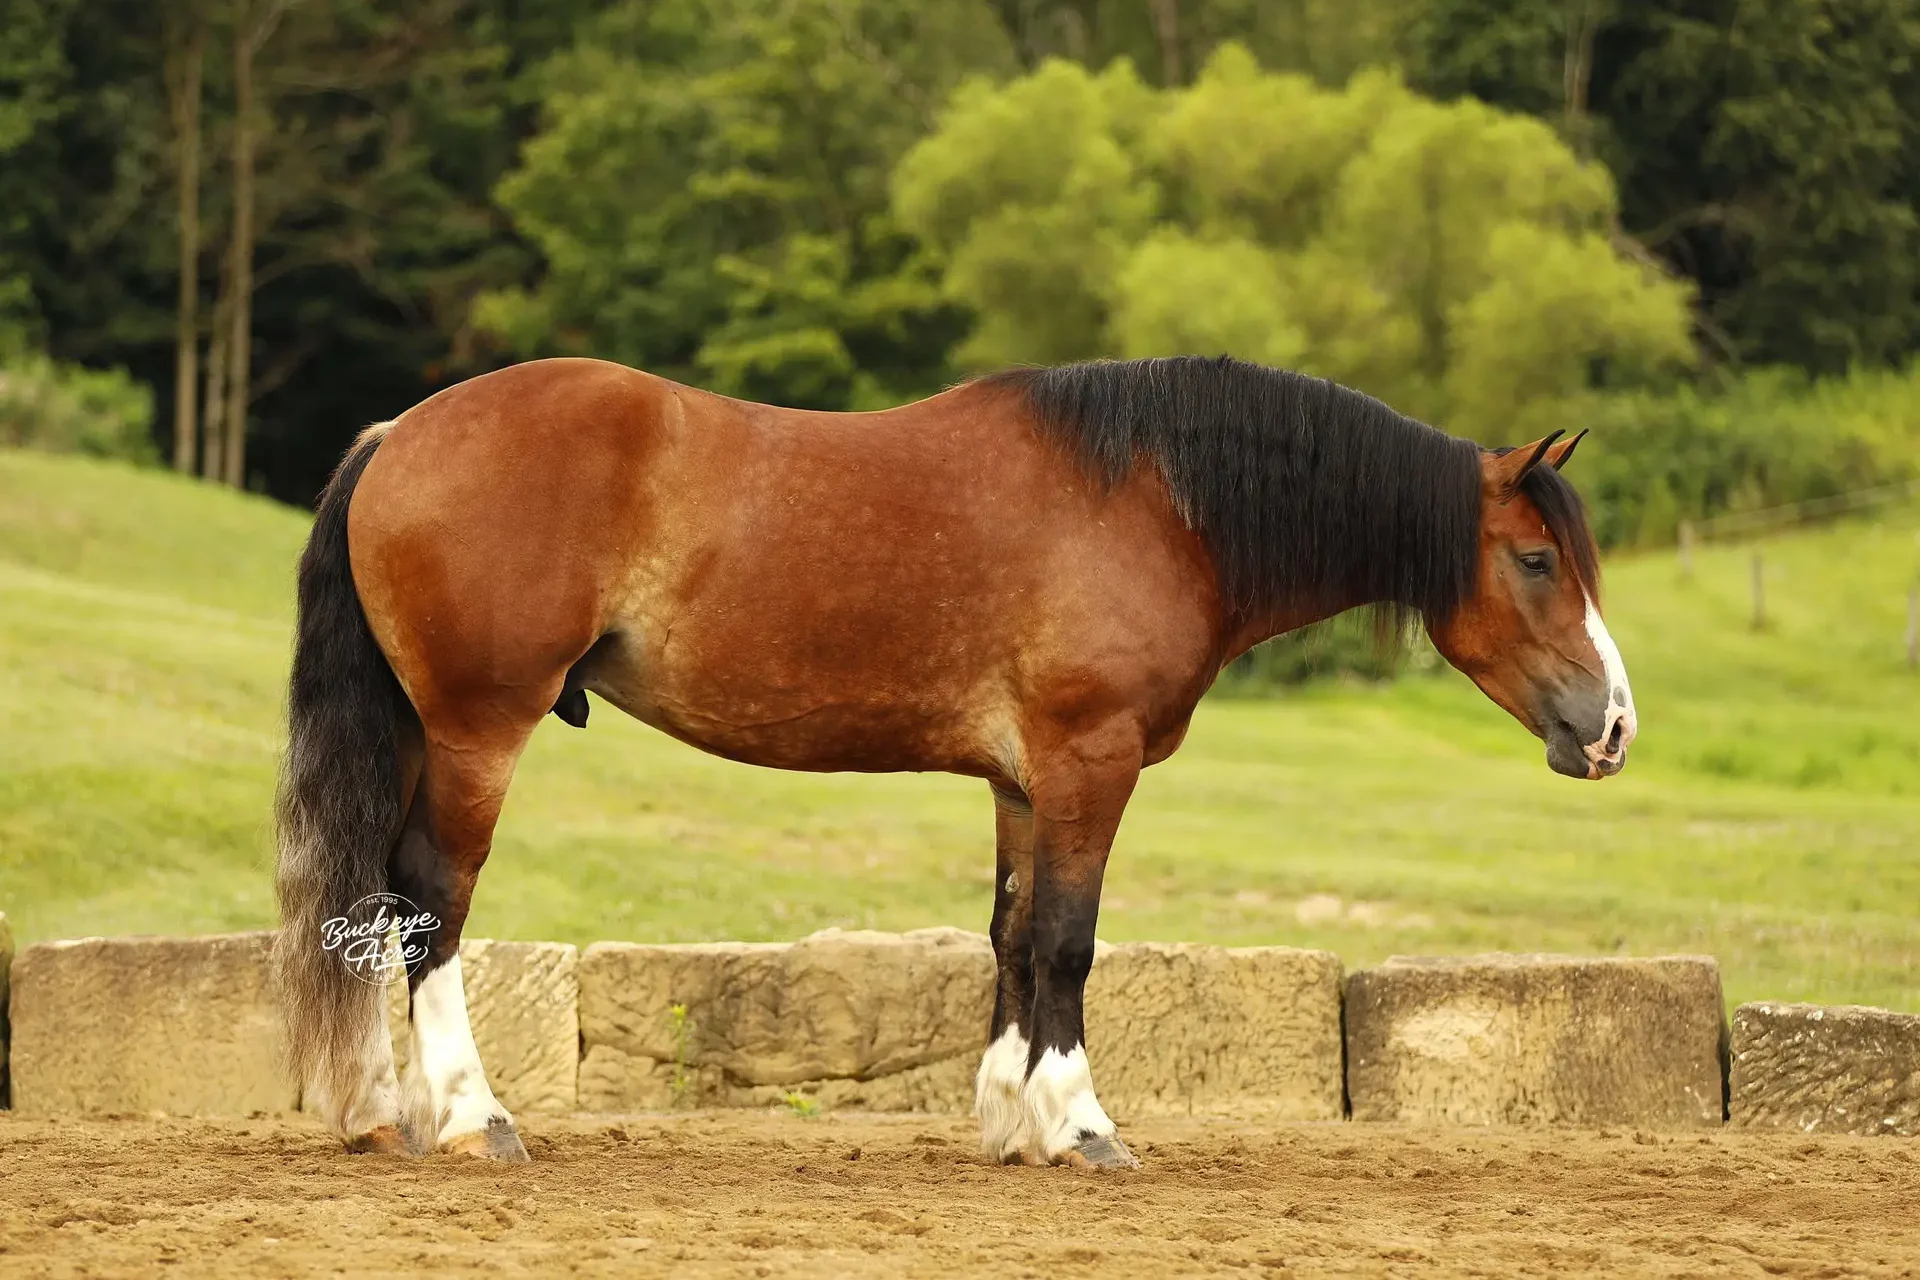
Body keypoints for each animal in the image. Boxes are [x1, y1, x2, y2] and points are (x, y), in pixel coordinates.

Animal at [272, 354, 1635, 1168]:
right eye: (1534, 559)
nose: (1614, 724)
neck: (1156, 503)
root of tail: (401, 431)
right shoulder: (1090, 761)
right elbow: (1072, 940)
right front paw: (1080, 1123)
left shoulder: (1024, 781)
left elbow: (1014, 936)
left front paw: (1008, 1119)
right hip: (477, 731)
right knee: (431, 900)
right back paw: (471, 1114)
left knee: (379, 899)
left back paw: (386, 1111)